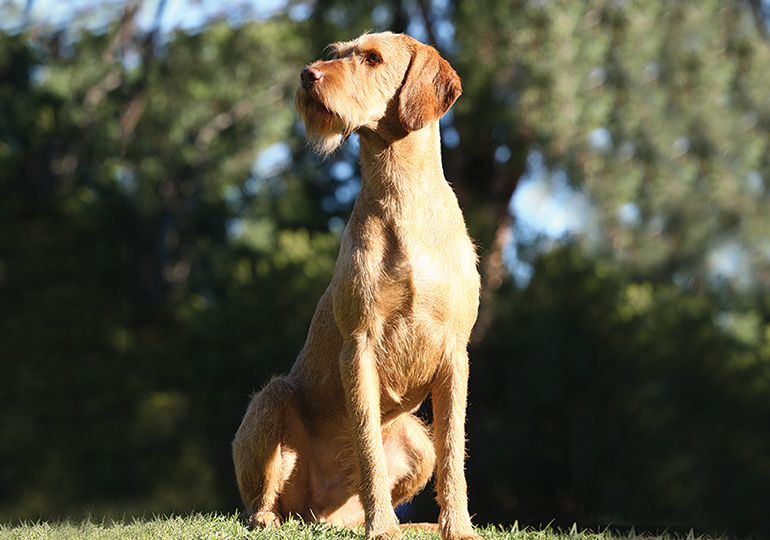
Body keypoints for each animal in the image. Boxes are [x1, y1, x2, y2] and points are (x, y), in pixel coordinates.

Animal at [233, 31, 481, 540]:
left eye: (372, 58)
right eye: (338, 52)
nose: (308, 74)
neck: (403, 196)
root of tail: (321, 513)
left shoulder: (455, 352)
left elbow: (454, 451)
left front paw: (459, 527)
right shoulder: (359, 346)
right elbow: (367, 446)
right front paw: (381, 526)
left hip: (417, 440)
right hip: (272, 398)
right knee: (259, 502)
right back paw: (273, 516)